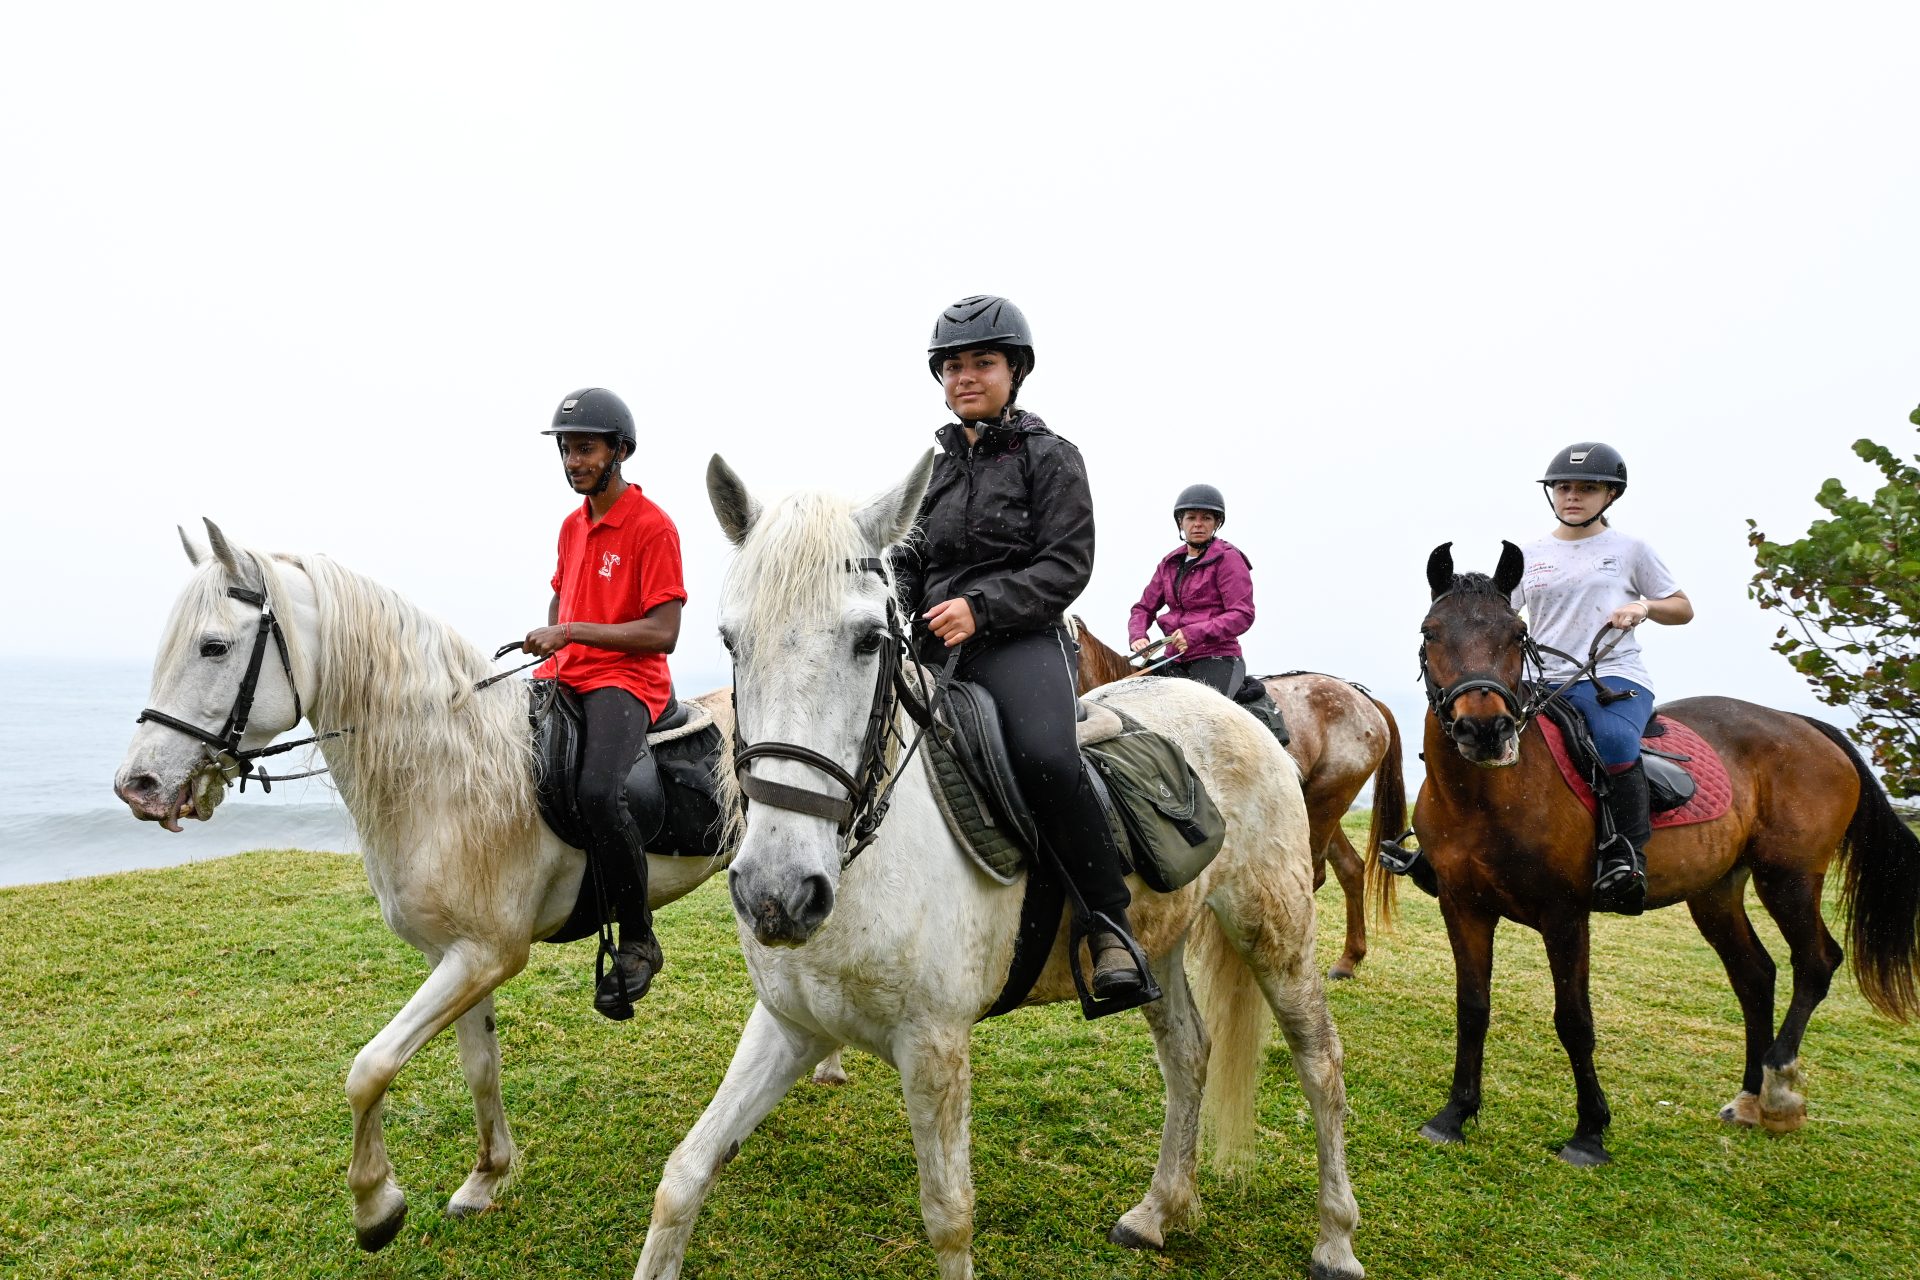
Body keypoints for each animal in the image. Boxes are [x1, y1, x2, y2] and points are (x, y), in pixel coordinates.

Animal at [116, 521, 733, 1251]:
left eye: (213, 646)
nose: (138, 785)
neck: (452, 773)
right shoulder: (459, 957)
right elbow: (479, 1067)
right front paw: (487, 1178)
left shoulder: (487, 955)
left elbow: (370, 1069)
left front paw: (375, 1205)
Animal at [637, 460, 1359, 1280]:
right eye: (731, 639)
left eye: (870, 640)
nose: (777, 896)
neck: (868, 868)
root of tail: (1232, 711)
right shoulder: (790, 1027)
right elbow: (684, 1176)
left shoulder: (934, 1049)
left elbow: (949, 1219)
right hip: (1162, 940)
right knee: (1188, 1054)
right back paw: (1156, 1211)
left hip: (1275, 929)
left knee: (1320, 1064)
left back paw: (1335, 1240)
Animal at [1067, 614, 1413, 974]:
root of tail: (1365, 701)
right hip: (1320, 804)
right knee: (1351, 867)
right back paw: (1349, 958)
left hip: (1325, 803)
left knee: (1317, 876)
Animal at [1390, 545, 1920, 1166]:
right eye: (1430, 632)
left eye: (1517, 633)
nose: (1485, 729)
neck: (1489, 797)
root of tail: (1804, 725)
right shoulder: (1463, 906)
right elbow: (1472, 1007)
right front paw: (1455, 1114)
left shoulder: (1564, 916)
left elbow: (1574, 1020)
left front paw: (1590, 1132)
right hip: (1716, 890)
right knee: (1754, 974)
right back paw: (1749, 1098)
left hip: (1788, 877)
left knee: (1815, 962)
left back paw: (1779, 1087)